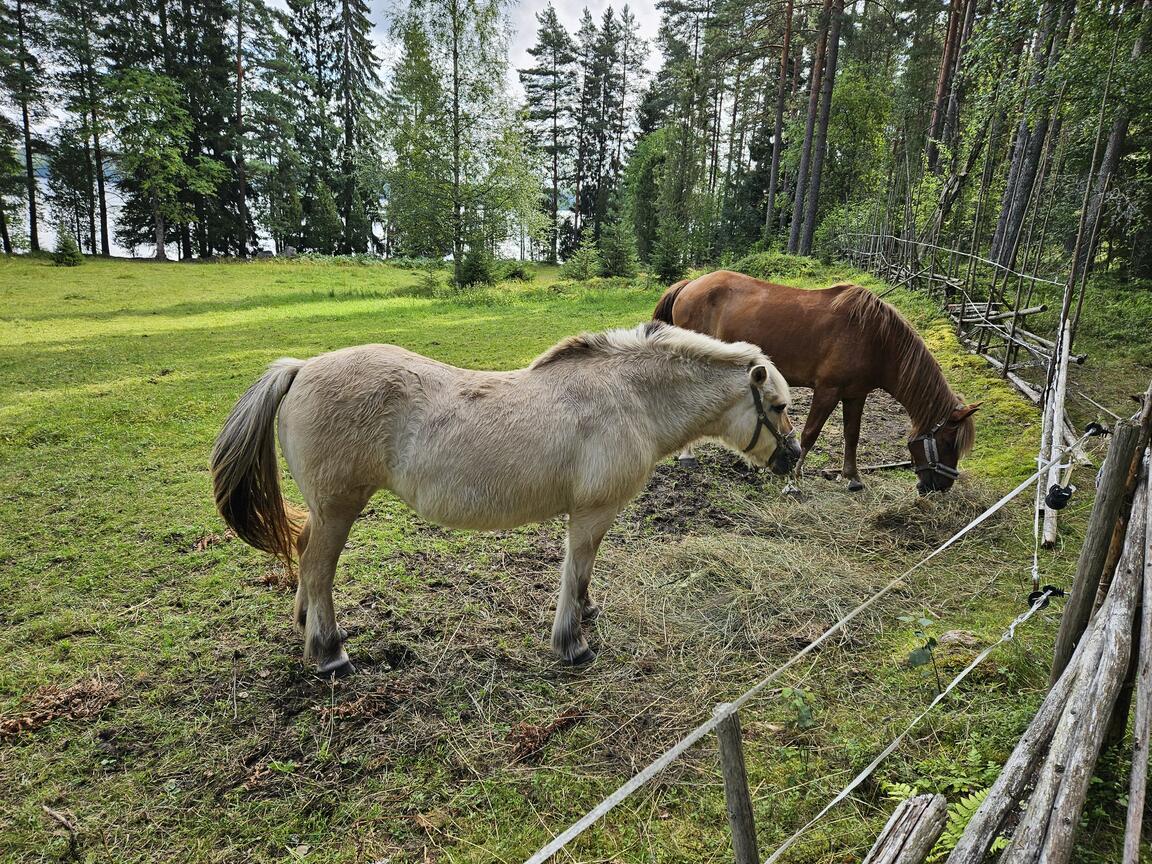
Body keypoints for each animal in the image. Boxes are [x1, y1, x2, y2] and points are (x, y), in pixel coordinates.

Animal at [209, 320, 801, 677]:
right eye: (777, 405)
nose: (793, 457)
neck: (628, 398)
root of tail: (301, 368)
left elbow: (583, 575)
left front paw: (587, 613)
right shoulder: (591, 513)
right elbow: (574, 572)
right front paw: (572, 642)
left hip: (324, 509)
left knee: (304, 555)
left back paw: (307, 627)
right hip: (339, 509)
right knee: (317, 570)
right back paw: (330, 652)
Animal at [654, 270, 976, 493]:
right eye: (949, 442)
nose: (941, 487)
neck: (875, 339)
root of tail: (690, 284)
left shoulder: (856, 394)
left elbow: (852, 435)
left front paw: (853, 478)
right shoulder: (827, 391)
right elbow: (810, 434)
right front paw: (793, 480)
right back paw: (687, 455)